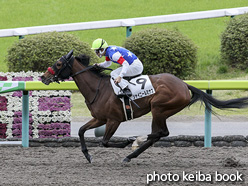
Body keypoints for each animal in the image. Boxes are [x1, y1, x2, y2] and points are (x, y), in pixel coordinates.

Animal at [41, 50, 248, 163]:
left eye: (58, 63)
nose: (43, 77)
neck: (98, 88)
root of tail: (184, 85)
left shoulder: (114, 120)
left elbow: (105, 141)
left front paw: (125, 141)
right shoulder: (100, 118)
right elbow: (82, 131)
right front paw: (87, 156)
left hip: (159, 108)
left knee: (160, 133)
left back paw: (135, 142)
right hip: (160, 111)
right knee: (158, 134)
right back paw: (133, 150)